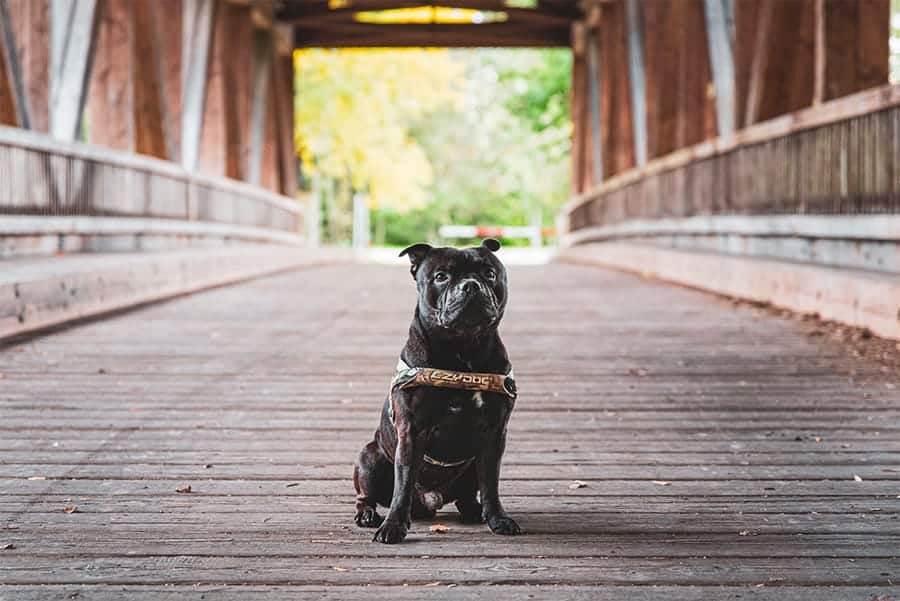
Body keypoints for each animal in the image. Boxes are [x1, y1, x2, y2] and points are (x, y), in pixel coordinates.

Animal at [354, 239, 520, 544]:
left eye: (489, 273)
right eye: (441, 276)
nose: (471, 286)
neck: (462, 349)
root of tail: (429, 502)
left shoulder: (494, 433)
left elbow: (491, 483)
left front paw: (498, 519)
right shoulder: (411, 431)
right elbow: (403, 484)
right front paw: (393, 526)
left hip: (471, 466)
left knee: (469, 492)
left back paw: (474, 510)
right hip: (369, 457)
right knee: (367, 495)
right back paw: (368, 515)